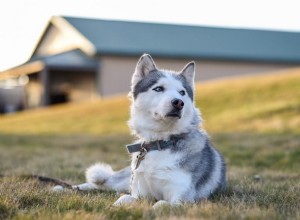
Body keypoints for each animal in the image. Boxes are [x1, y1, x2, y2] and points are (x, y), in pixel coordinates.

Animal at [74, 54, 226, 207]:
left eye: (182, 92)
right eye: (158, 89)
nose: (179, 103)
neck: (159, 143)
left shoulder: (182, 199)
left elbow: (160, 204)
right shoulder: (138, 193)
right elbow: (124, 198)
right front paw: (114, 206)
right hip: (124, 180)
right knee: (103, 183)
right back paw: (71, 187)